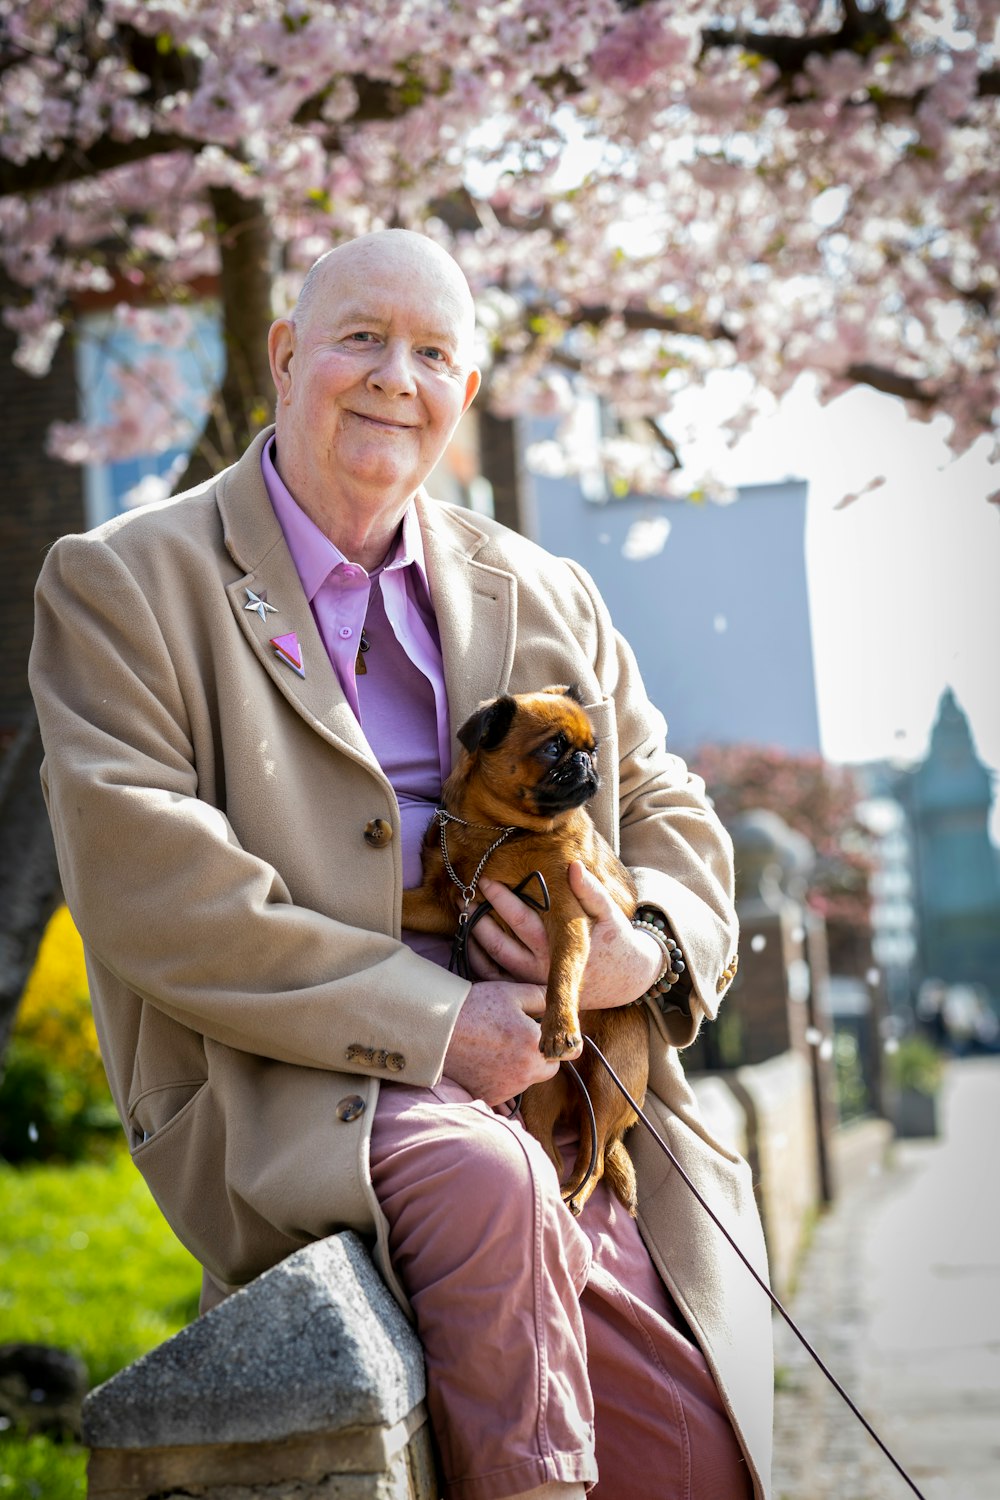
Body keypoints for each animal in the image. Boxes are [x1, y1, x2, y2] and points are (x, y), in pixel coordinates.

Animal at [401, 687, 653, 1212]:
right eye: (554, 748)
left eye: (592, 747)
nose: (586, 760)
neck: (498, 832)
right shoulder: (444, 905)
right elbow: (405, 904)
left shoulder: (567, 914)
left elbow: (562, 971)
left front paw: (559, 1027)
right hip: (541, 1094)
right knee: (553, 1148)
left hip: (607, 1078)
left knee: (596, 1156)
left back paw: (576, 1194)